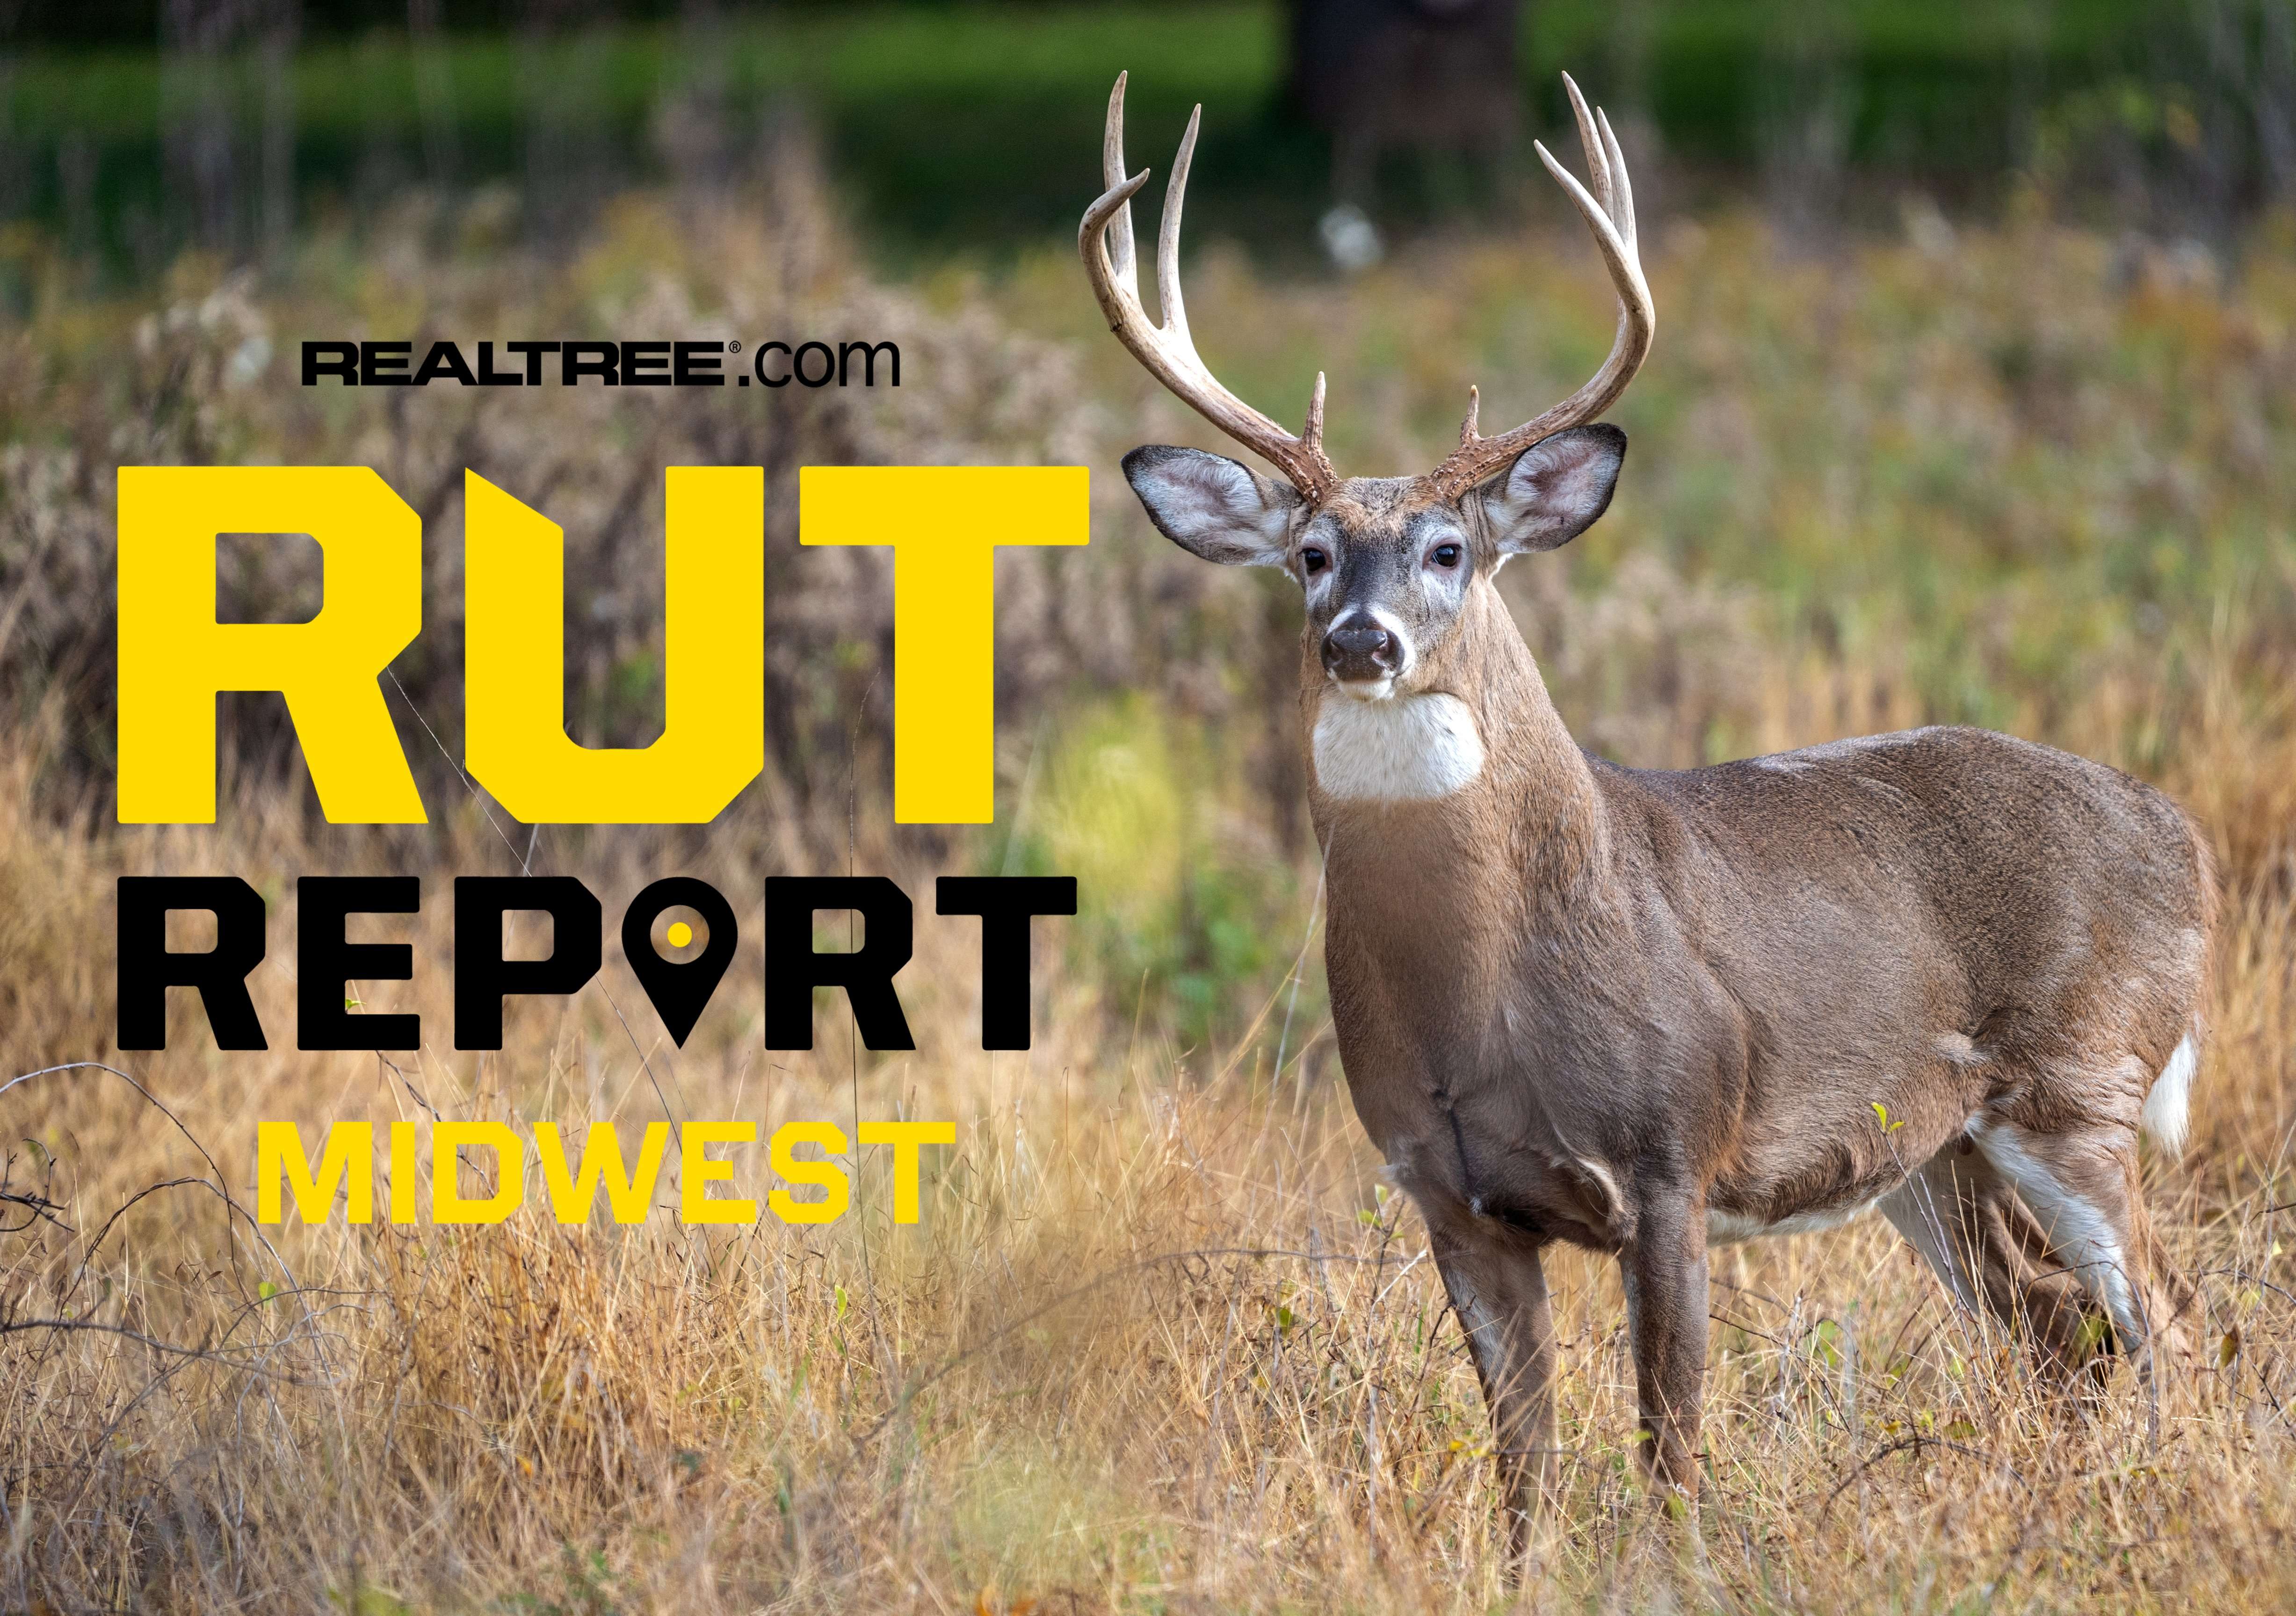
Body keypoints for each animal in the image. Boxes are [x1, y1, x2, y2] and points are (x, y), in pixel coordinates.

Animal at [1081, 71, 2215, 1546]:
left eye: (1447, 549)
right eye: (1309, 554)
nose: (1360, 641)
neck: (1481, 999)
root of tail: (2184, 835)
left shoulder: (1673, 1154)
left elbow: (1668, 1447)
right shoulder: (1447, 1191)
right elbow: (1524, 1465)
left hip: (2082, 1081)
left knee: (2167, 1318)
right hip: (1931, 1152)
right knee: (2054, 1327)